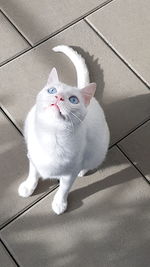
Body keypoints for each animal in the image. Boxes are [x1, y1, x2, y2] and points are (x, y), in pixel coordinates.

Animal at [18, 45, 110, 215]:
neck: (51, 133)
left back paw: (83, 171)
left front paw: (59, 203)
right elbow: (33, 173)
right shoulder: (33, 157)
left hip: (98, 153)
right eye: (52, 91)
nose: (58, 97)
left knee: (88, 164)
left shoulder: (69, 174)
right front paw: (28, 187)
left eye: (73, 99)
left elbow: (64, 189)